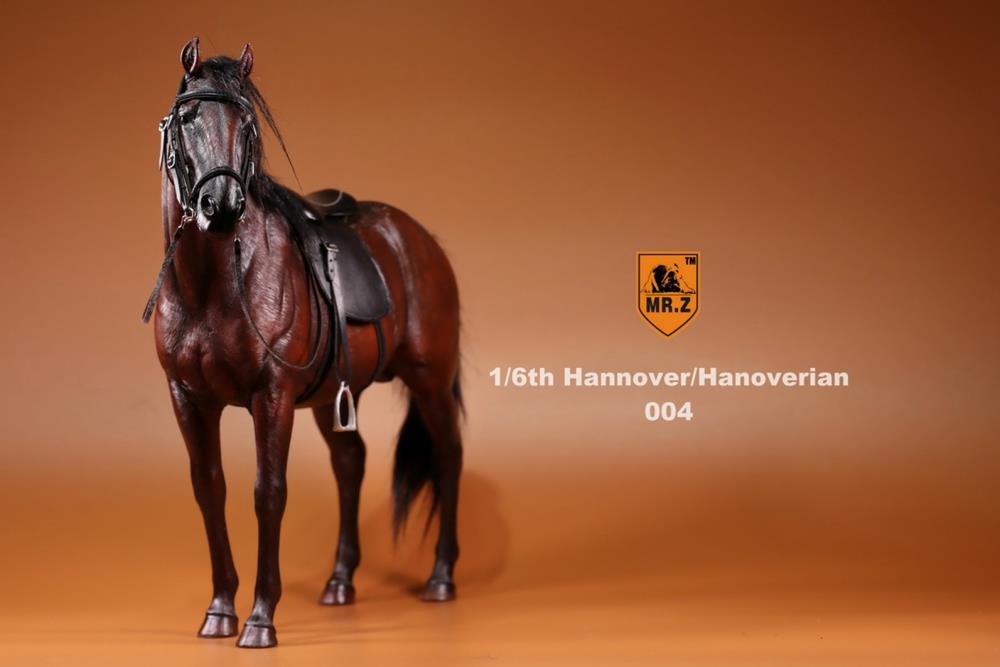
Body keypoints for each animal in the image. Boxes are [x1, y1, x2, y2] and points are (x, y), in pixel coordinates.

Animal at [144, 37, 464, 648]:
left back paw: (440, 577)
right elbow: (210, 489)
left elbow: (268, 492)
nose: (221, 207)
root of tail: (417, 238)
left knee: (448, 456)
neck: (212, 283)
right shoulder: (187, 398)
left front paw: (260, 618)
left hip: (429, 378)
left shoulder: (272, 398)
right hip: (334, 395)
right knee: (351, 462)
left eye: (247, 125)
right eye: (188, 119)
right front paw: (220, 610)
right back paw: (340, 582)